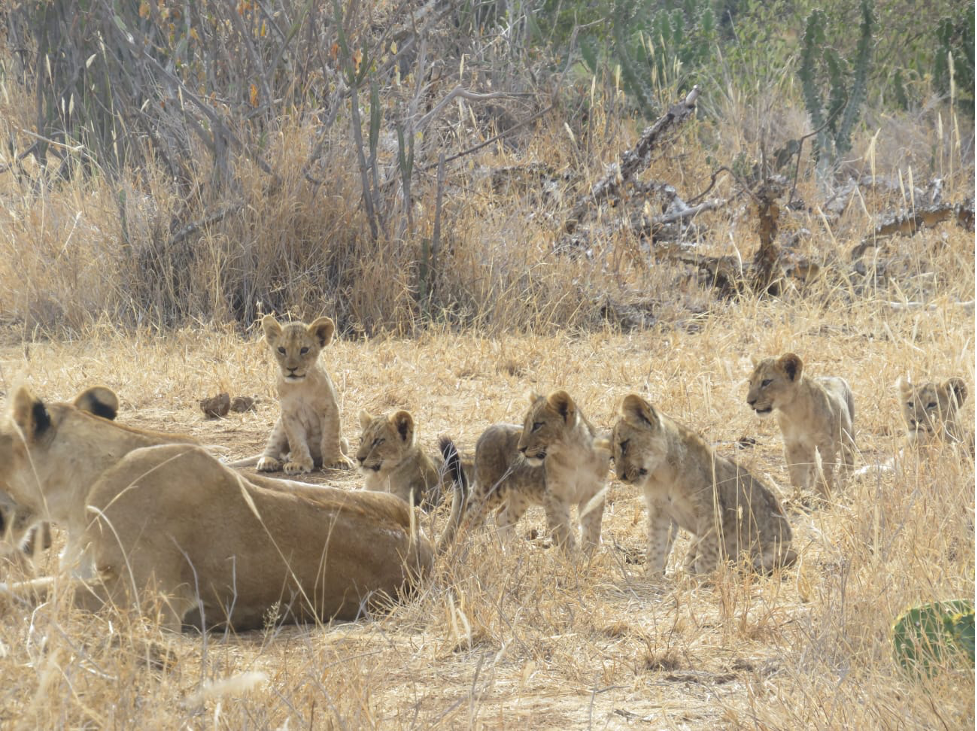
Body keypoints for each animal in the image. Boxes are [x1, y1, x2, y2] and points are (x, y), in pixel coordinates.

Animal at [231, 315, 353, 475]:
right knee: (271, 449)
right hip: (279, 426)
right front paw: (299, 463)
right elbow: (296, 441)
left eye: (304, 350)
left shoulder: (330, 409)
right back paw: (270, 461)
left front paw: (336, 460)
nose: (291, 368)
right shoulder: (288, 414)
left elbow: (330, 437)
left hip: (345, 442)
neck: (301, 385)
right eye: (282, 349)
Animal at [450, 390, 610, 553]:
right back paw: (455, 552)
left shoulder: (593, 494)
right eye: (526, 425)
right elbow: (563, 534)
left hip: (520, 496)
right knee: (468, 518)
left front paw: (587, 557)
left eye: (537, 425)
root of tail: (489, 429)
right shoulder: (554, 498)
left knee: (502, 516)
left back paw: (509, 553)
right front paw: (573, 558)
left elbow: (592, 532)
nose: (521, 448)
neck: (574, 455)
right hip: (488, 490)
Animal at [607, 394, 795, 576]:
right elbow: (656, 547)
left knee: (750, 568)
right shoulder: (660, 512)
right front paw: (652, 577)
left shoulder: (710, 511)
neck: (661, 474)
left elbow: (707, 552)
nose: (621, 477)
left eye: (624, 444)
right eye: (612, 457)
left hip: (777, 552)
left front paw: (702, 580)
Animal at [746, 353, 856, 497]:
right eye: (750, 382)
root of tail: (835, 376)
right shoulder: (792, 445)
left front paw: (821, 498)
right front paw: (800, 497)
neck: (793, 411)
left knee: (846, 464)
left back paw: (843, 490)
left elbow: (825, 474)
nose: (749, 402)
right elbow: (797, 475)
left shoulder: (826, 444)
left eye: (766, 382)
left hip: (848, 438)